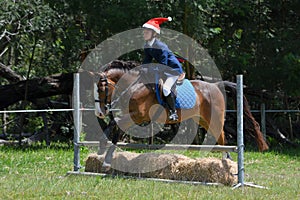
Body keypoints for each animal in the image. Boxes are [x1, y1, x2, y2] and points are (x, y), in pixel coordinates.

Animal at [92, 60, 268, 168]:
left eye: (101, 89)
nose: (100, 113)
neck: (135, 86)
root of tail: (216, 85)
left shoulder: (138, 115)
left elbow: (116, 124)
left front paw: (106, 158)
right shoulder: (132, 115)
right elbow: (114, 124)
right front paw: (101, 148)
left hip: (214, 118)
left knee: (221, 136)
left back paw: (227, 162)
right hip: (203, 120)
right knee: (220, 136)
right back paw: (226, 161)